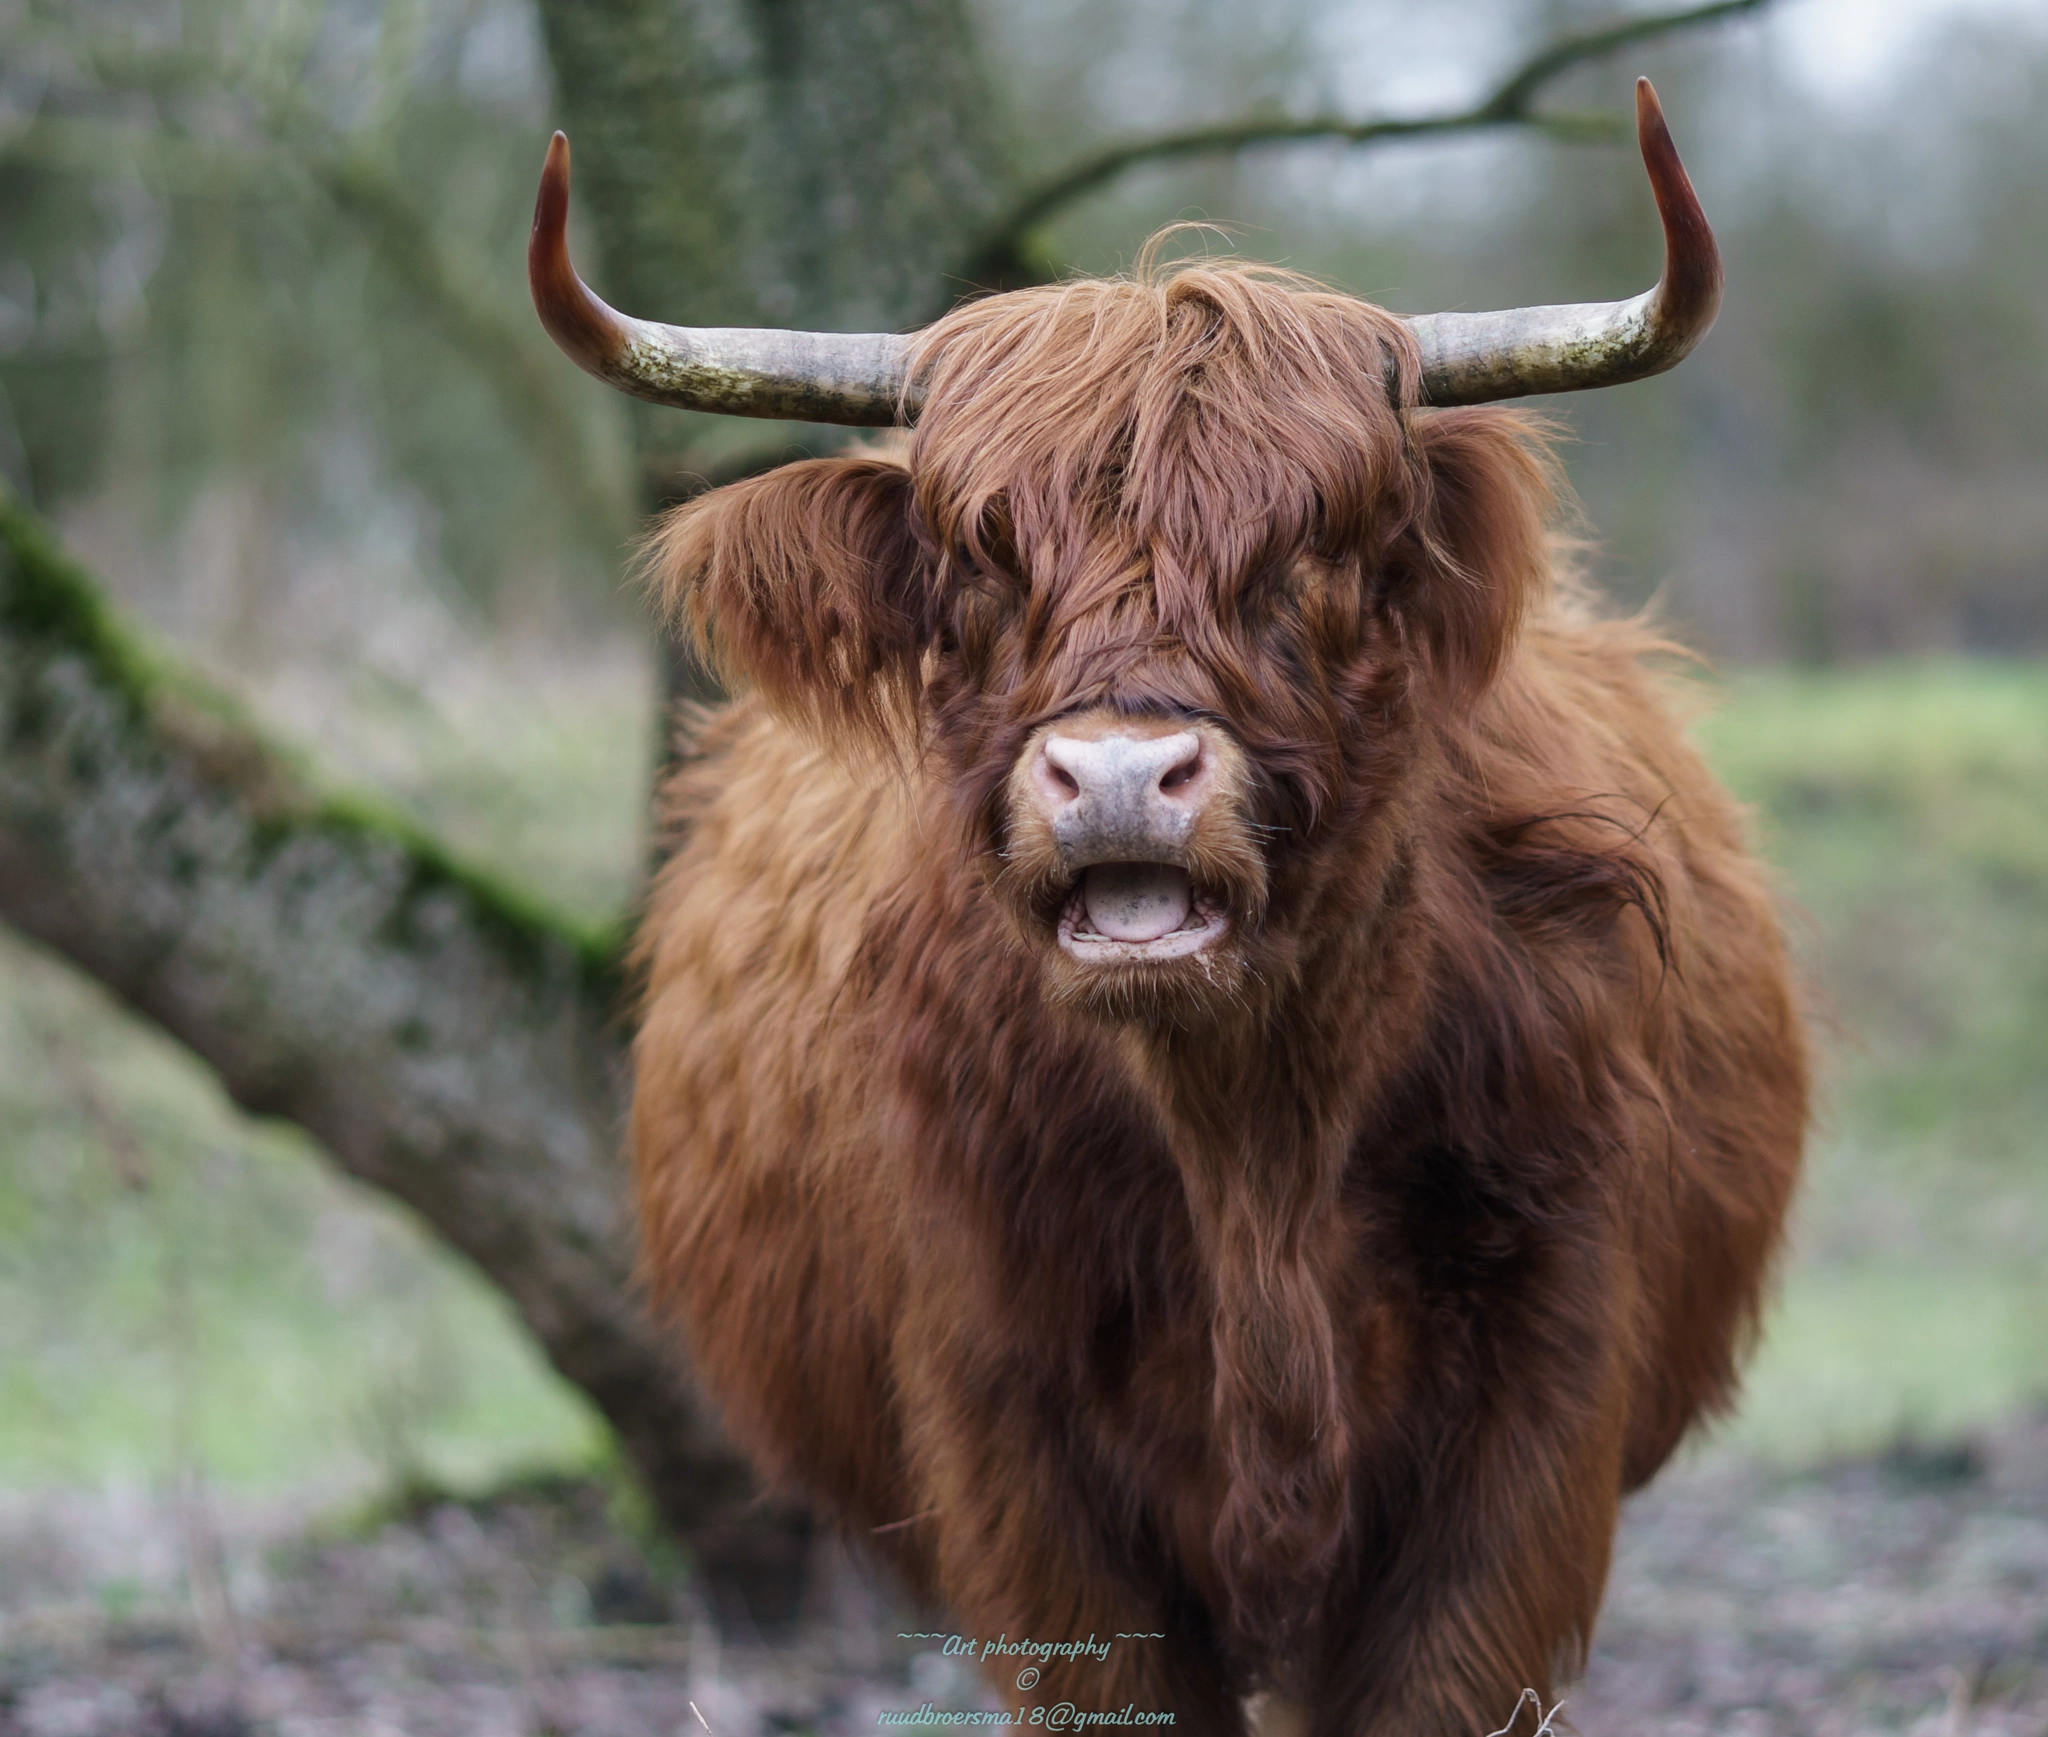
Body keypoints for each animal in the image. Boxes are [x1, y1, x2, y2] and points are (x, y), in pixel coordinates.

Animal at [528, 81, 1810, 1737]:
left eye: (1314, 551)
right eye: (977, 563)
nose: (1122, 774)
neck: (1252, 1144)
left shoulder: (1535, 1412)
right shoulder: (1015, 1449)